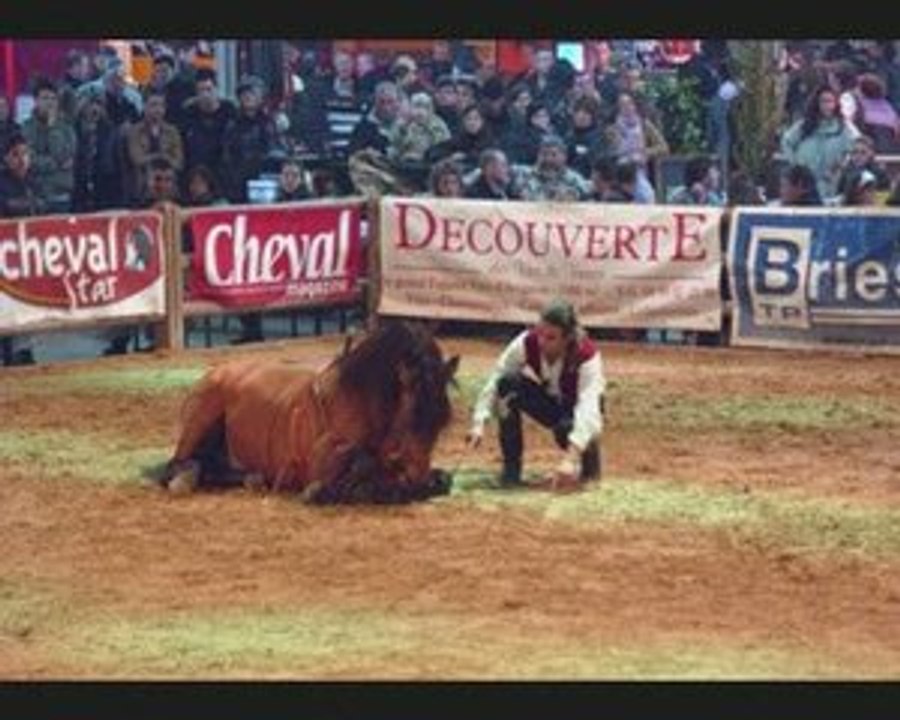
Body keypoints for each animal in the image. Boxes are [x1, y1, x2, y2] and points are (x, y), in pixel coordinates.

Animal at [156, 319, 460, 504]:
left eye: (441, 421)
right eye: (410, 415)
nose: (416, 477)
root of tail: (217, 372)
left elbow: (442, 480)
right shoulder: (321, 467)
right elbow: (346, 476)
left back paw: (252, 478)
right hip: (201, 420)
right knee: (177, 464)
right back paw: (186, 478)